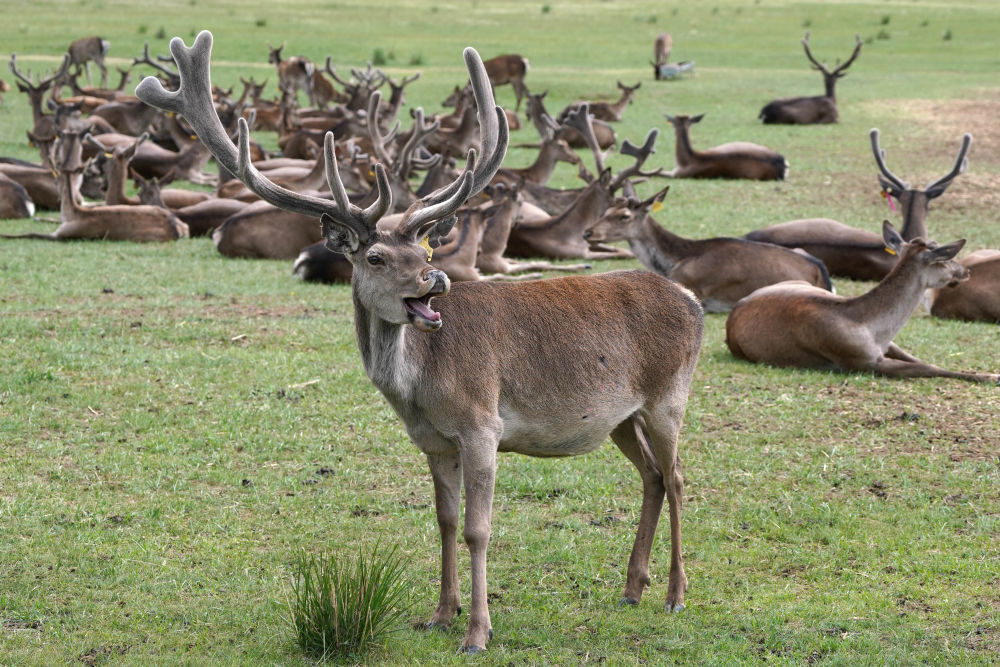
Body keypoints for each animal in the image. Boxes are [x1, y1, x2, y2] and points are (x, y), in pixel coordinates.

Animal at [137, 30, 708, 652]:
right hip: (620, 416)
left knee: (678, 476)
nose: (436, 279)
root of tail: (693, 302)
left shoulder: (483, 426)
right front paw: (441, 613)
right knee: (652, 476)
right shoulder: (434, 442)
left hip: (669, 396)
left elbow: (480, 529)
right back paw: (632, 587)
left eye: (426, 250)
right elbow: (446, 521)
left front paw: (478, 631)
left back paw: (677, 594)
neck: (419, 392)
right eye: (376, 256)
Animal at [584, 187, 832, 312]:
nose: (588, 232)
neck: (673, 260)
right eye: (606, 211)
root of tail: (821, 272)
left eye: (624, 216)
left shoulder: (695, 286)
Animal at [728, 222, 1000, 384]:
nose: (965, 271)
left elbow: (920, 360)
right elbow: (926, 368)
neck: (870, 327)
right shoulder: (858, 360)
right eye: (943, 259)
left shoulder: (886, 345)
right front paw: (992, 375)